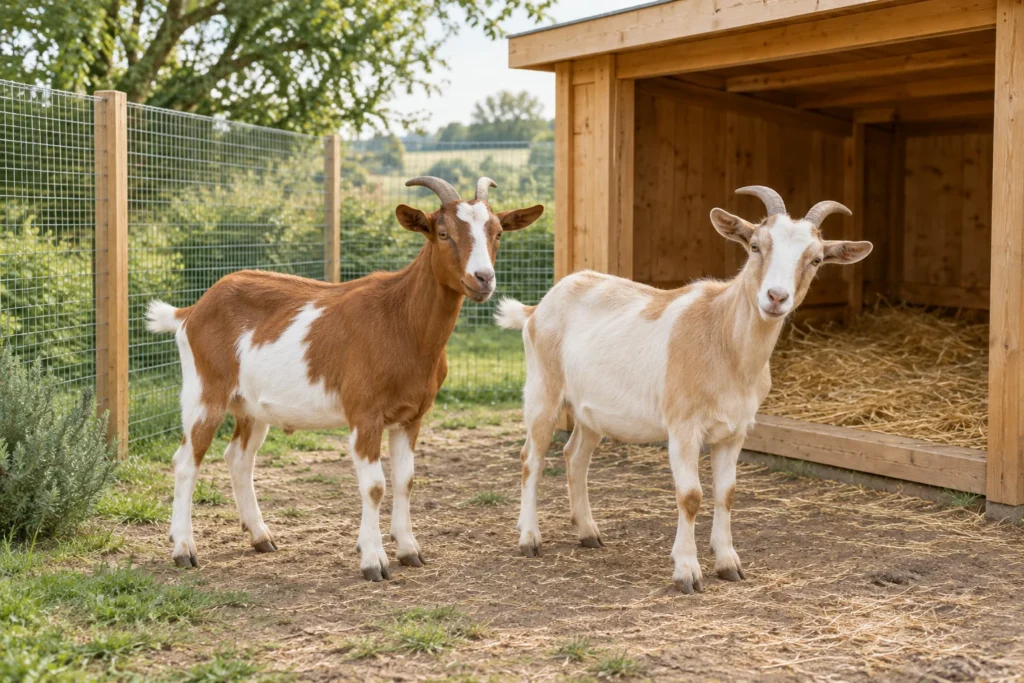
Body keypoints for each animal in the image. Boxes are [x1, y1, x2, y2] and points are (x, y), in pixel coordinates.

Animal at [146, 176, 543, 580]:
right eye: (443, 232)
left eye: (497, 233)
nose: (483, 279)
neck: (400, 320)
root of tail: (192, 310)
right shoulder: (364, 413)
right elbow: (374, 486)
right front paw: (373, 560)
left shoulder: (411, 416)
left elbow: (405, 480)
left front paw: (409, 550)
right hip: (204, 391)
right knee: (187, 460)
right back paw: (184, 549)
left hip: (251, 406)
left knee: (239, 458)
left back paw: (260, 537)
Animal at [495, 186, 871, 593]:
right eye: (756, 245)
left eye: (815, 259)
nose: (775, 297)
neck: (722, 340)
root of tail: (537, 309)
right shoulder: (683, 427)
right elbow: (691, 496)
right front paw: (687, 572)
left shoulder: (735, 432)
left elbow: (726, 493)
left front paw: (728, 563)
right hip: (543, 390)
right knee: (531, 457)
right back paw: (529, 538)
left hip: (589, 411)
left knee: (574, 456)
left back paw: (588, 532)